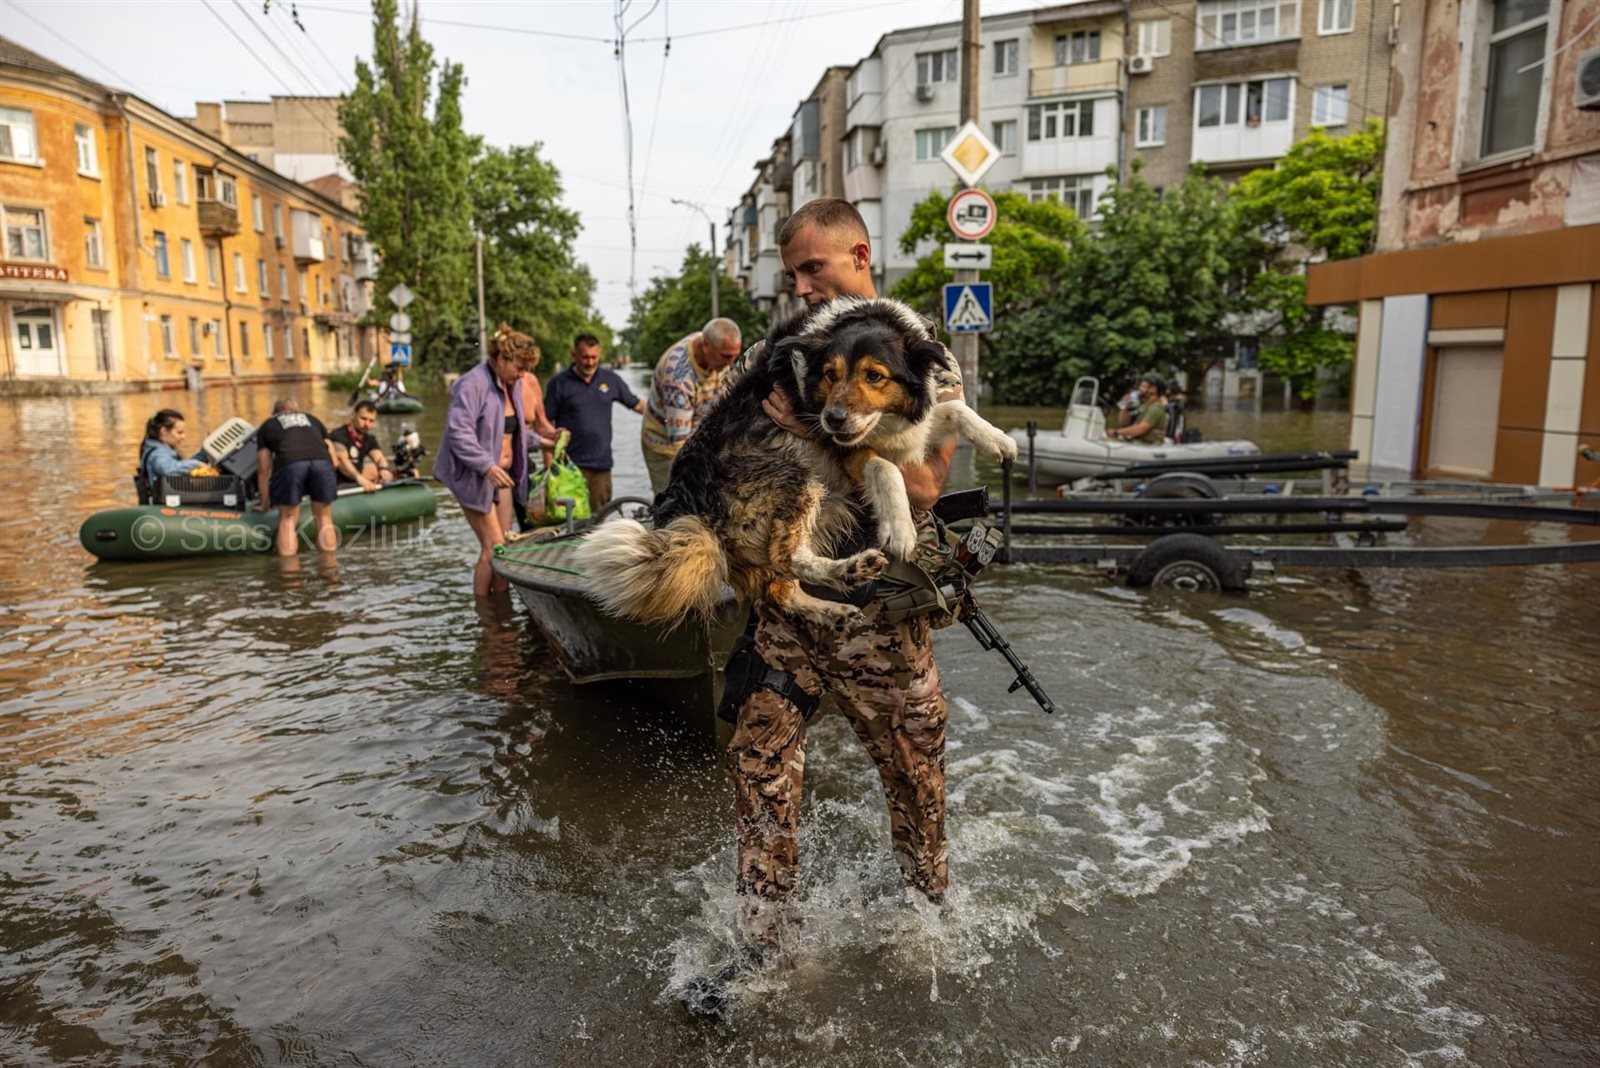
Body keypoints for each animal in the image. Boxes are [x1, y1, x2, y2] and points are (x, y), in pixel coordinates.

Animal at [579, 294, 1011, 626]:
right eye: (830, 374)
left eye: (874, 376)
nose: (833, 419)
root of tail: (692, 510)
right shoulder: (845, 447)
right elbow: (886, 468)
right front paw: (900, 529)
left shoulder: (901, 429)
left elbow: (954, 410)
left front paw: (999, 440)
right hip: (797, 478)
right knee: (787, 557)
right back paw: (851, 569)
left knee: (778, 587)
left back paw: (833, 605)